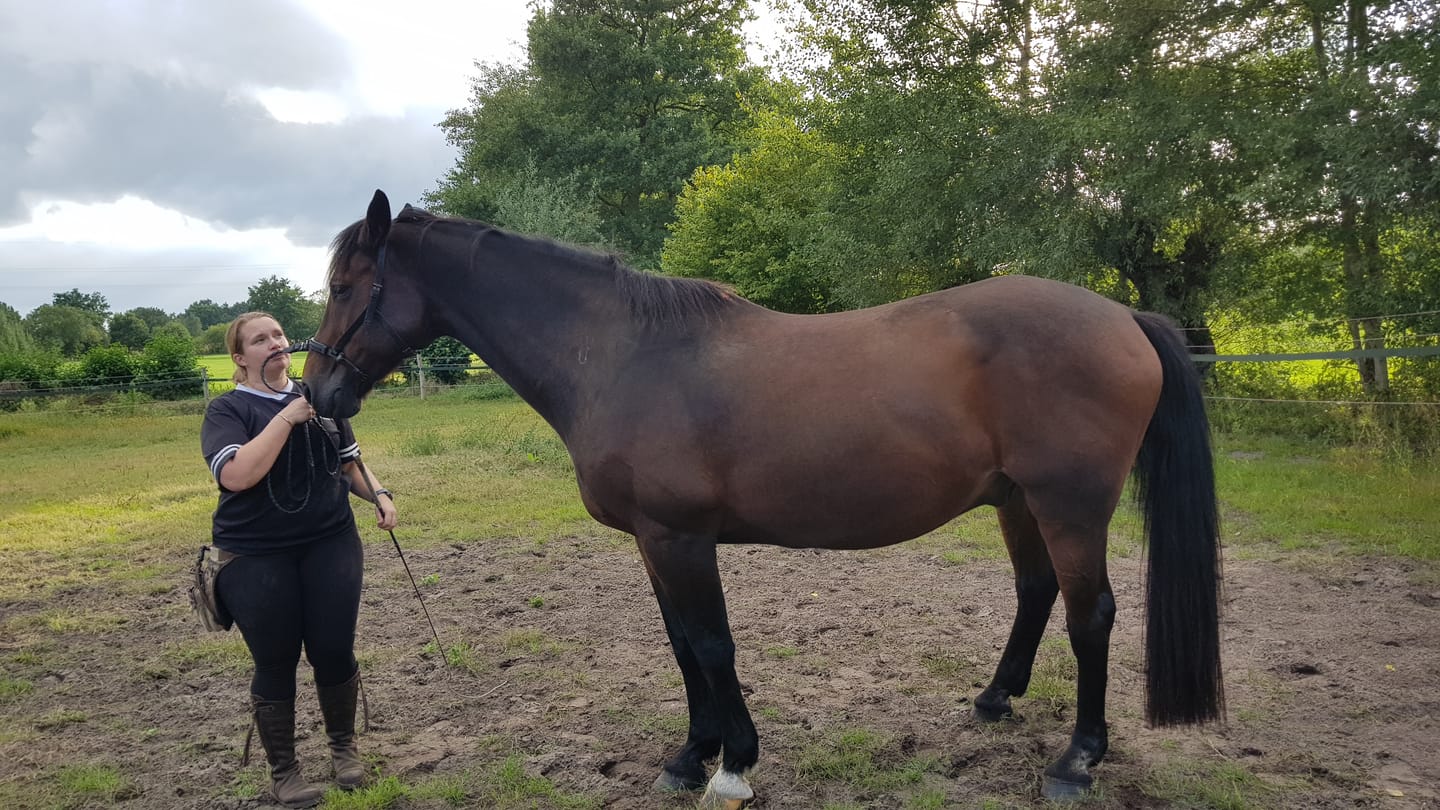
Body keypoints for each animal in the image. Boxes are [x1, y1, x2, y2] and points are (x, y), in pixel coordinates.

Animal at [303, 190, 1223, 805]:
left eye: (347, 285)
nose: (317, 396)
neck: (620, 355)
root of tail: (1124, 318)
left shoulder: (679, 538)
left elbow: (713, 647)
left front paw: (734, 766)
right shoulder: (652, 541)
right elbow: (682, 647)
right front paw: (689, 757)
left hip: (1069, 507)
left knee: (1090, 615)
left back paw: (1076, 762)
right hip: (1016, 501)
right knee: (1036, 593)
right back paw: (995, 701)